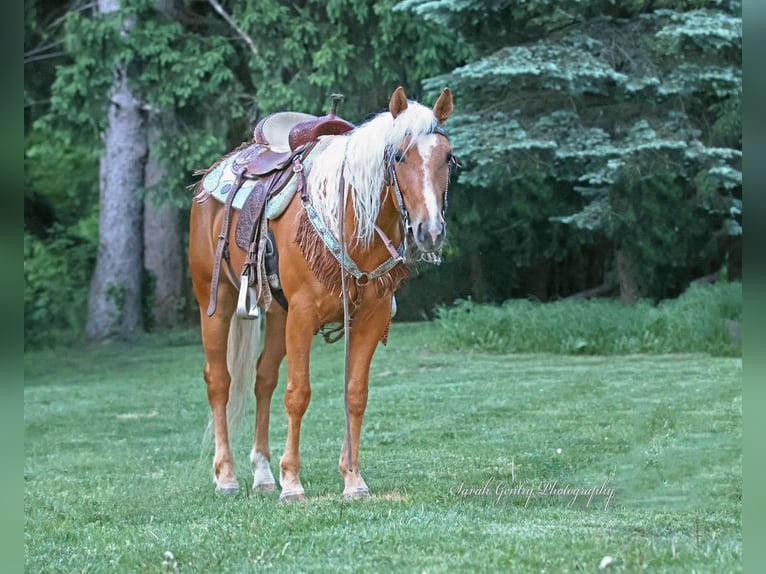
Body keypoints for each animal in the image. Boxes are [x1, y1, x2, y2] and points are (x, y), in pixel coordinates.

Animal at [188, 86, 455, 501]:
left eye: (447, 158)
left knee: (263, 379)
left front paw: (353, 479)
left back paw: (262, 473)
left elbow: (355, 394)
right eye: (398, 155)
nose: (430, 231)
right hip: (214, 301)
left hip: (277, 313)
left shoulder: (370, 317)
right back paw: (227, 477)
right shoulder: (302, 315)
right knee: (220, 381)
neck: (349, 220)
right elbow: (298, 394)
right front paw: (292, 483)